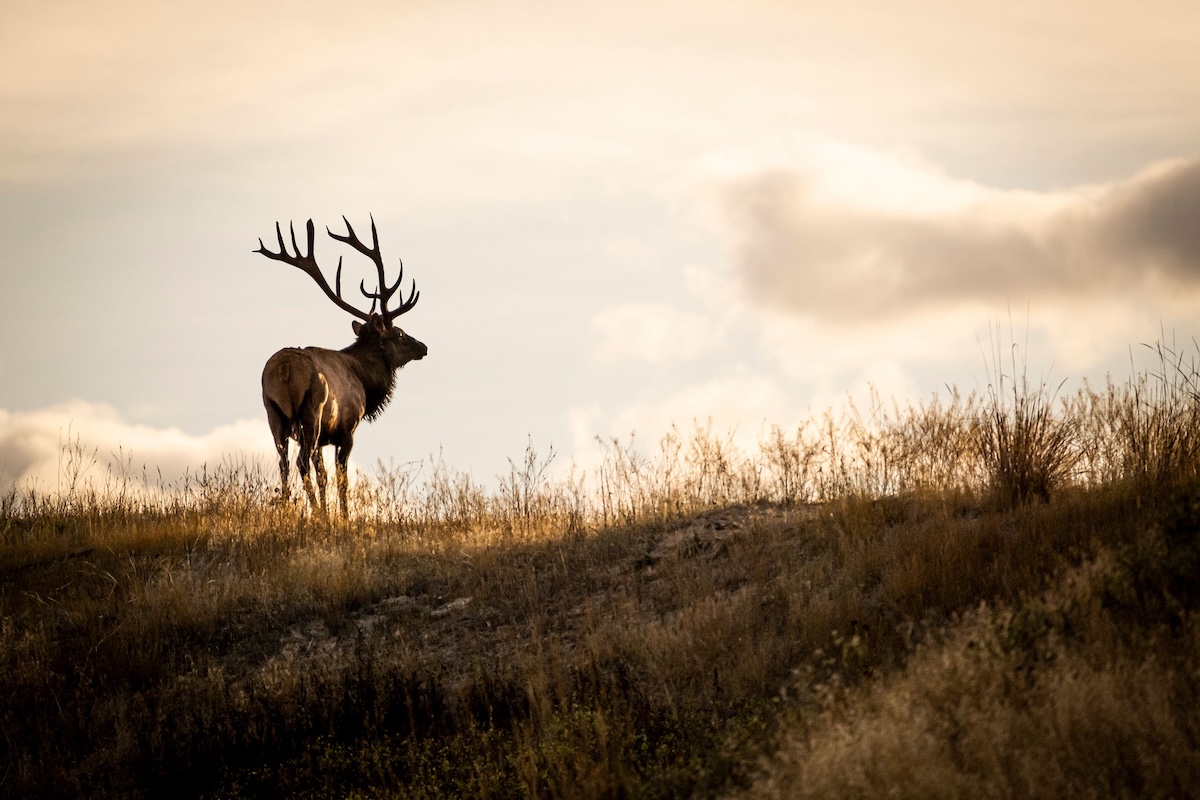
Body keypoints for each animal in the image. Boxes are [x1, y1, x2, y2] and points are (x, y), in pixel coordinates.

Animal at [256, 215, 428, 515]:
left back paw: (289, 509)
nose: (424, 347)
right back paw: (314, 513)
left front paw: (327, 512)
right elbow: (341, 478)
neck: (366, 383)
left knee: (284, 463)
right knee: (300, 462)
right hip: (312, 411)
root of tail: (284, 369)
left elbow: (323, 474)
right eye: (399, 334)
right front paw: (342, 516)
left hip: (273, 412)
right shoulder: (346, 429)